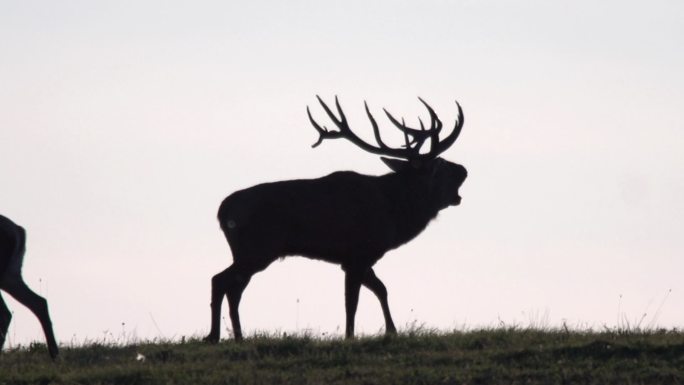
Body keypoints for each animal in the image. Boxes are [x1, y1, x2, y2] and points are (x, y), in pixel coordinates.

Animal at [206, 95, 468, 340]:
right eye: (440, 166)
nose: (464, 170)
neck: (393, 213)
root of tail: (222, 211)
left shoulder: (356, 259)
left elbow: (381, 289)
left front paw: (391, 331)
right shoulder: (358, 254)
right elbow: (352, 302)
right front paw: (350, 336)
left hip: (249, 252)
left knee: (234, 288)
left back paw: (237, 336)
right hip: (258, 248)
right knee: (220, 280)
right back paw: (214, 336)